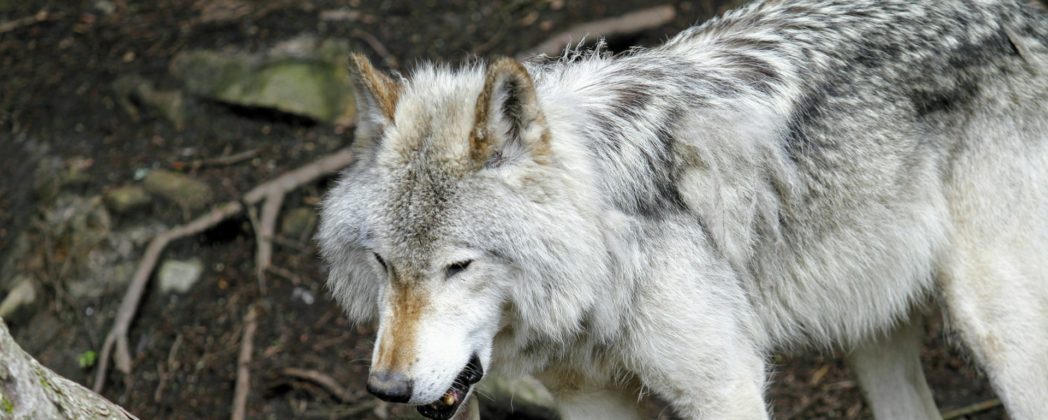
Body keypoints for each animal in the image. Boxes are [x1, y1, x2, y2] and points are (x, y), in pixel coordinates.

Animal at [317, 0, 1048, 418]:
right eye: (382, 263)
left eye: (459, 266)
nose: (386, 390)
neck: (607, 251)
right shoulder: (589, 400)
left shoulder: (726, 388)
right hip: (870, 327)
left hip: (998, 330)